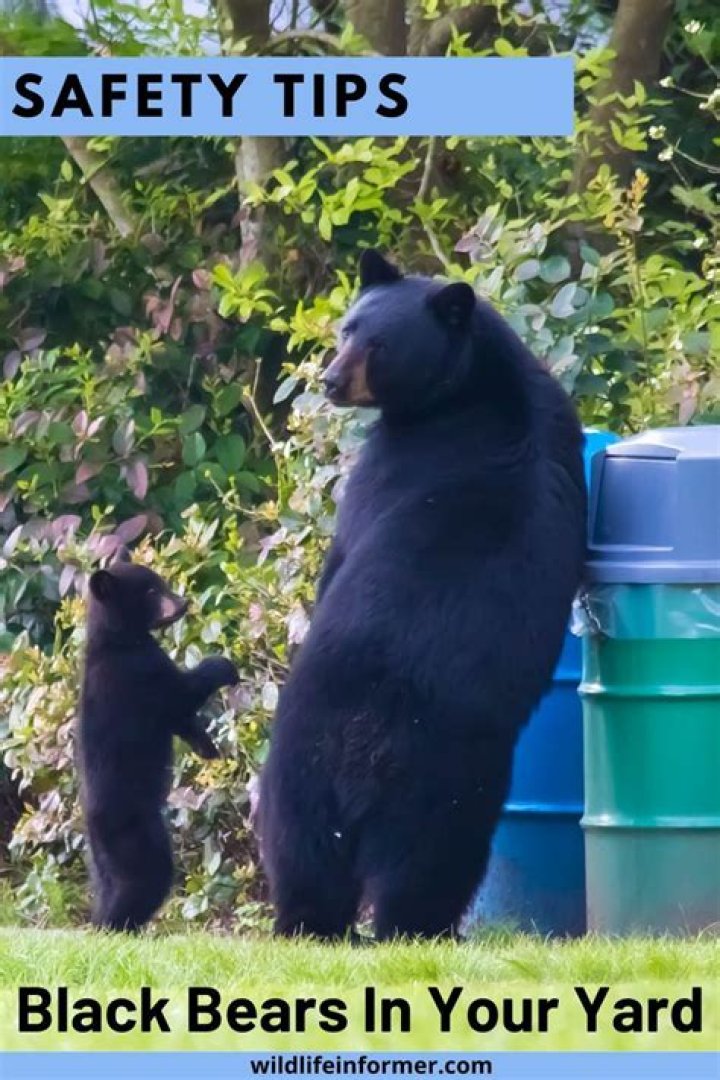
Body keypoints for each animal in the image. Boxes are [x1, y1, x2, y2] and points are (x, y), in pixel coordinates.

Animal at [77, 548, 238, 932]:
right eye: (151, 591)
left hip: (101, 860)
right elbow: (179, 695)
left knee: (108, 887)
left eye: (161, 582)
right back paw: (120, 928)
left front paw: (207, 748)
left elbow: (179, 718)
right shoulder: (139, 671)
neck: (117, 640)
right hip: (135, 835)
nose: (182, 603)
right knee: (146, 880)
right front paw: (222, 666)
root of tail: (92, 826)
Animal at [257, 249, 587, 941]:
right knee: (383, 871)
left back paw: (326, 926)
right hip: (427, 795)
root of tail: (369, 743)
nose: (331, 380)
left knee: (326, 859)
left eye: (378, 344)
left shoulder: (386, 467)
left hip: (350, 772)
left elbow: (342, 547)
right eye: (347, 327)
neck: (474, 386)